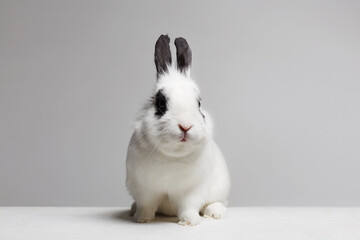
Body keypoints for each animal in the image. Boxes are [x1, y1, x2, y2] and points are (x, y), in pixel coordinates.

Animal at [125, 34, 229, 226]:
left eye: (198, 103)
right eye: (161, 103)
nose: (185, 126)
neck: (173, 156)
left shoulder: (193, 190)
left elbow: (189, 207)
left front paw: (190, 222)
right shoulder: (145, 190)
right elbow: (146, 206)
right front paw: (142, 219)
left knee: (218, 202)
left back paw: (213, 213)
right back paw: (133, 210)